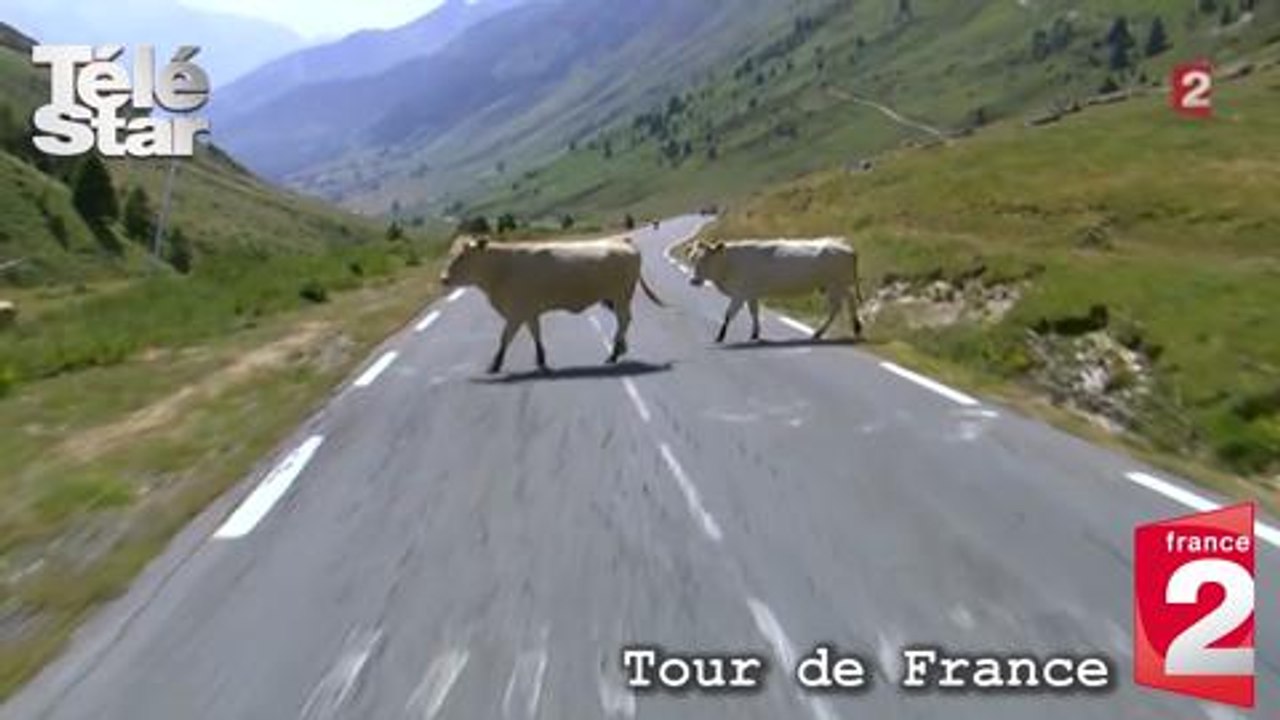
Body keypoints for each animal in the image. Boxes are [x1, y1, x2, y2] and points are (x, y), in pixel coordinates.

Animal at [441, 236, 665, 373]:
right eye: (449, 254)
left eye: (463, 256)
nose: (443, 278)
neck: (501, 269)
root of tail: (621, 240)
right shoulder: (529, 312)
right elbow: (536, 334)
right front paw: (541, 360)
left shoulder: (516, 313)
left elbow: (504, 339)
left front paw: (495, 365)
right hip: (614, 298)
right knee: (623, 321)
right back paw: (620, 350)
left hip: (620, 296)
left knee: (624, 320)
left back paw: (613, 353)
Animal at [689, 238, 864, 343]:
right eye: (692, 258)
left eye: (706, 259)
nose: (693, 280)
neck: (730, 262)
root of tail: (845, 246)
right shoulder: (751, 294)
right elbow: (754, 313)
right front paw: (755, 334)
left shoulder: (740, 294)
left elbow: (728, 314)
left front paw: (720, 336)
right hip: (838, 285)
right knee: (849, 301)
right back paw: (855, 327)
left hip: (836, 284)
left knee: (837, 307)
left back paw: (820, 332)